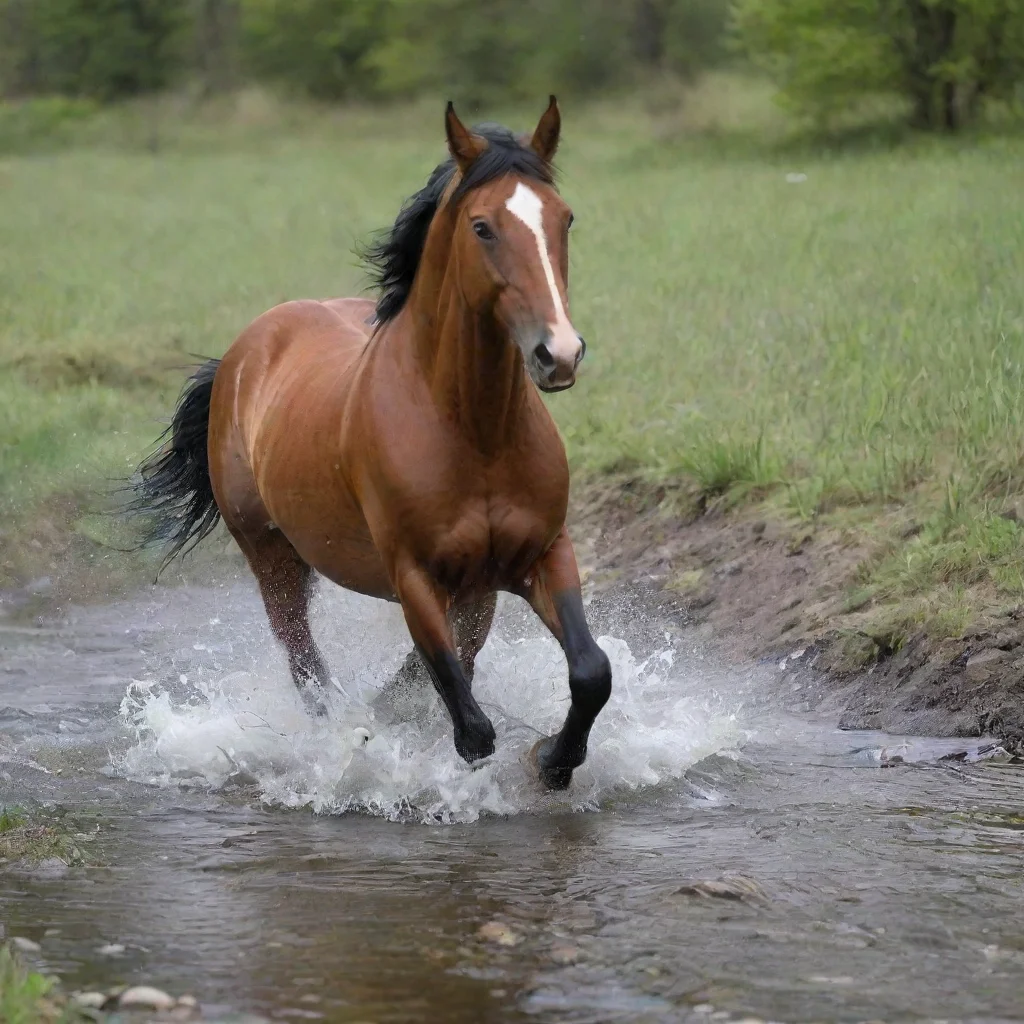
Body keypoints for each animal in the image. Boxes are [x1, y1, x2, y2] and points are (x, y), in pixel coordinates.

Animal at [130, 97, 612, 791]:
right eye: (482, 227)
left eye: (564, 218)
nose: (560, 353)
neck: (474, 433)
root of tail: (243, 354)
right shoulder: (413, 575)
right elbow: (469, 725)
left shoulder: (541, 555)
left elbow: (590, 671)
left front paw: (551, 761)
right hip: (273, 558)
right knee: (306, 666)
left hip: (476, 586)